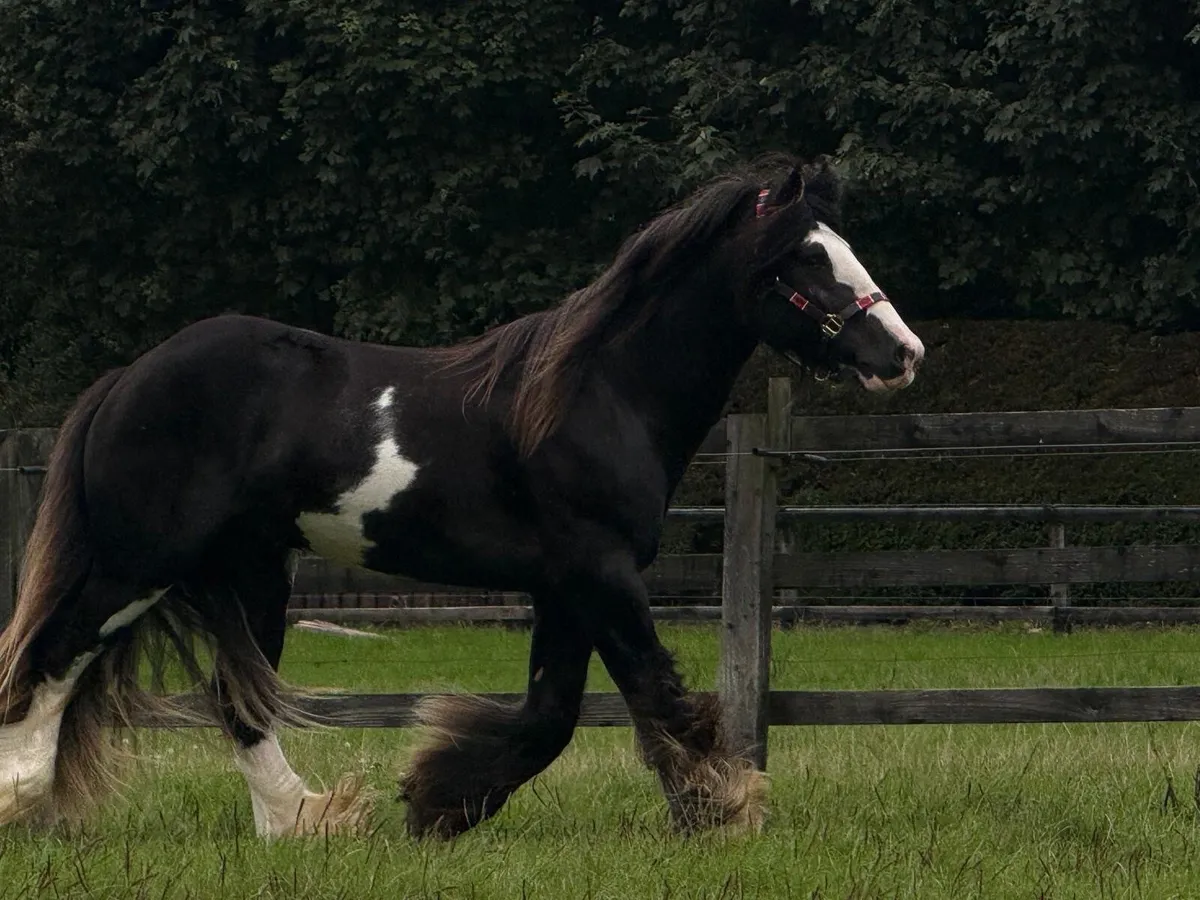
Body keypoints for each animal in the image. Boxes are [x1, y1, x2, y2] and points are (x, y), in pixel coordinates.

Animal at [0, 155, 923, 840]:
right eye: (807, 258)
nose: (903, 353)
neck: (598, 394)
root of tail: (127, 381)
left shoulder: (565, 585)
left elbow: (552, 714)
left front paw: (439, 801)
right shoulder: (601, 570)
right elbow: (653, 691)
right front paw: (722, 810)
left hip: (248, 573)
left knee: (239, 700)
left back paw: (302, 822)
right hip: (141, 563)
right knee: (52, 657)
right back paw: (23, 796)